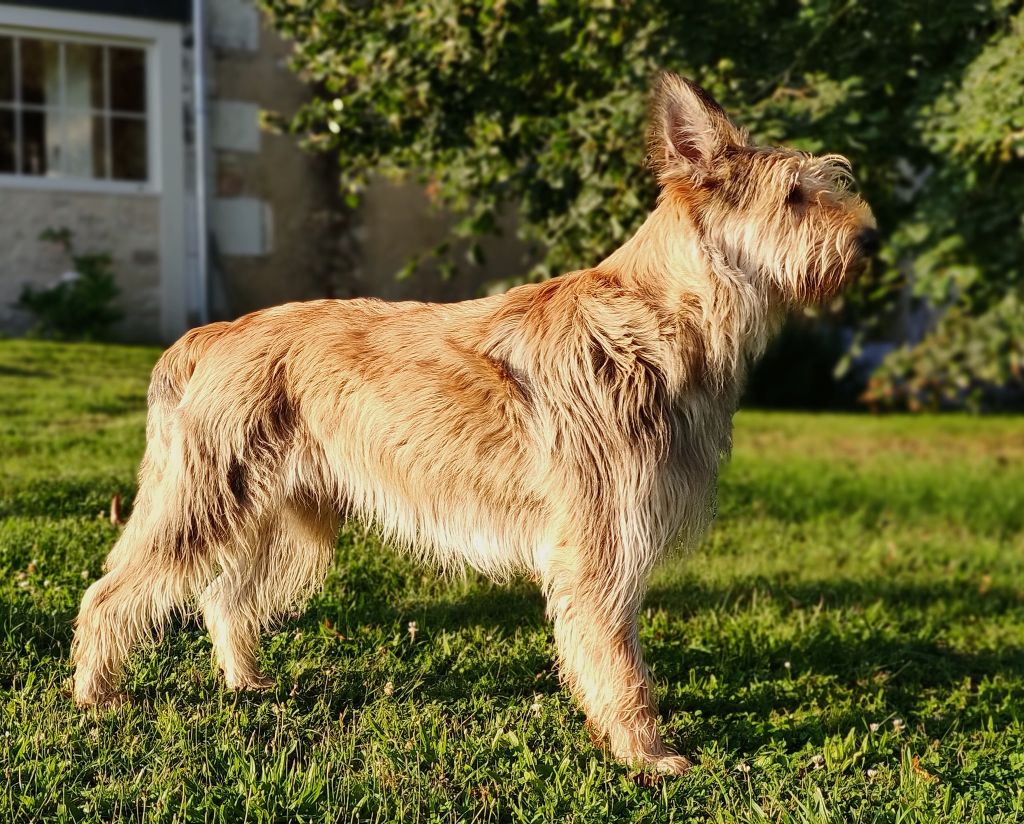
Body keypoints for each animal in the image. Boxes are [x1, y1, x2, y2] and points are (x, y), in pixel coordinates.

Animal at [72, 73, 876, 773]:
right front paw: (644, 753)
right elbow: (618, 661)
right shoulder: (600, 542)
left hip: (290, 519)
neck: (658, 322)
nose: (870, 241)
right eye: (794, 196)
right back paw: (95, 694)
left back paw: (245, 682)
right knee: (110, 591)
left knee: (222, 597)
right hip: (203, 499)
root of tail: (216, 332)